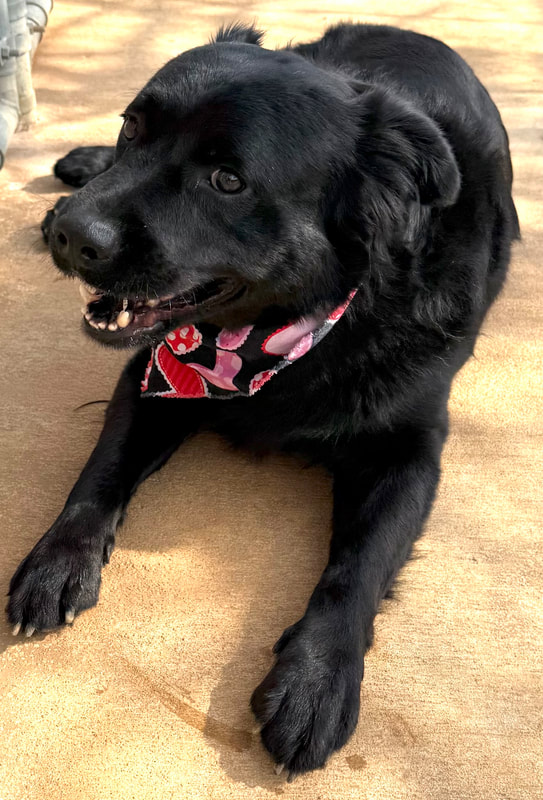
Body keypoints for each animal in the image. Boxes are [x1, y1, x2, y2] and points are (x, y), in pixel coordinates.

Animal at [7, 22, 519, 777]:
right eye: (132, 127)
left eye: (228, 181)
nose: (71, 234)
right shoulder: (156, 375)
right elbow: (99, 472)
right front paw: (58, 558)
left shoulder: (410, 451)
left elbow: (359, 566)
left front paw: (316, 678)